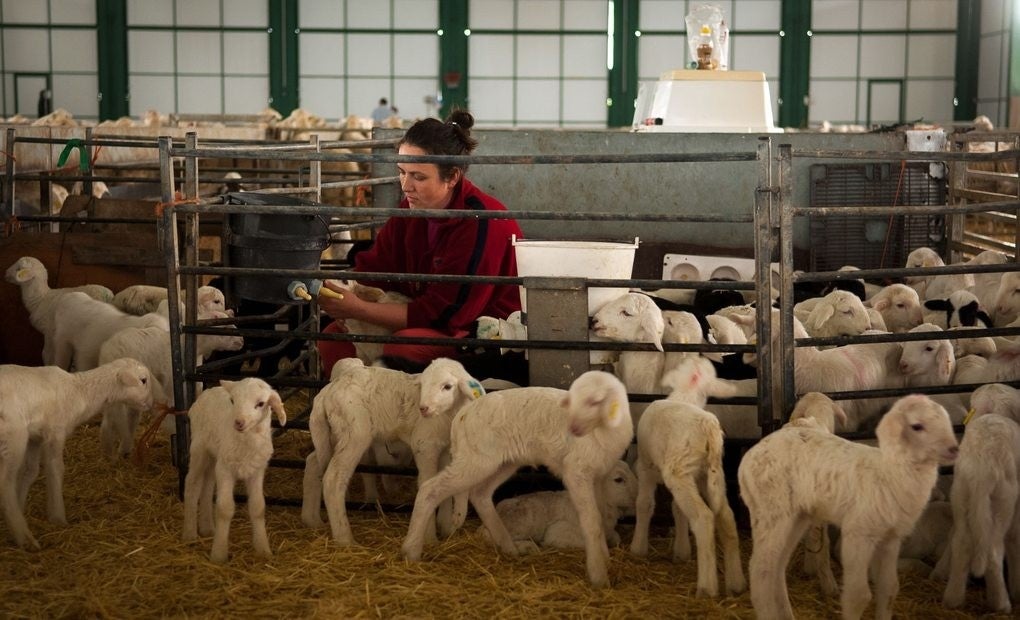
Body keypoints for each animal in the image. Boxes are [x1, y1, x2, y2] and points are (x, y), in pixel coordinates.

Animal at [181, 375, 287, 562]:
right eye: (232, 401)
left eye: (261, 403)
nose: (238, 422)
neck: (246, 443)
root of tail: (207, 391)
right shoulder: (225, 469)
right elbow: (224, 509)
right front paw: (219, 554)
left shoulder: (257, 470)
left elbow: (258, 507)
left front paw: (263, 549)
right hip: (199, 448)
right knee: (192, 484)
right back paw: (190, 533)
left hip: (214, 455)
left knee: (207, 486)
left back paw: (207, 528)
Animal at [297, 356, 485, 546]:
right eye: (423, 384)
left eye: (447, 386)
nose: (423, 408)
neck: (448, 415)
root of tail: (326, 393)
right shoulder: (424, 445)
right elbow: (428, 483)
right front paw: (430, 538)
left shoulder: (445, 450)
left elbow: (443, 489)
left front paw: (445, 527)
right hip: (354, 433)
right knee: (334, 479)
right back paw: (346, 540)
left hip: (331, 434)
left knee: (313, 463)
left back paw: (312, 520)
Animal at [401, 371, 632, 587]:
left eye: (595, 401)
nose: (574, 429)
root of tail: (462, 415)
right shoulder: (576, 472)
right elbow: (592, 522)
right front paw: (599, 575)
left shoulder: (598, 475)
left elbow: (599, 517)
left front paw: (605, 558)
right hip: (476, 460)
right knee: (430, 489)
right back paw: (411, 550)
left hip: (503, 462)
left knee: (480, 495)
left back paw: (509, 547)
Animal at [738, 397, 958, 620]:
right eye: (917, 426)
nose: (954, 449)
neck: (889, 472)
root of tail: (748, 459)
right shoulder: (858, 533)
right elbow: (858, 595)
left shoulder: (891, 538)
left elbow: (889, 589)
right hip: (771, 510)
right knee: (760, 569)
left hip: (796, 517)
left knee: (777, 567)